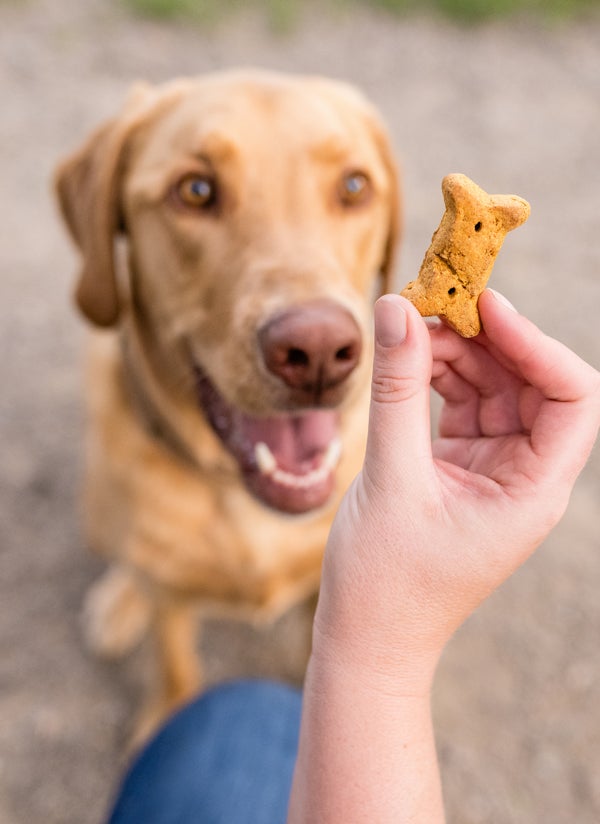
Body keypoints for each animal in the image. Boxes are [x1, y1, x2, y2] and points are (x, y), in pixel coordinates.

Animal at [55, 69, 404, 740]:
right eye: (195, 191)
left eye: (354, 187)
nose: (318, 352)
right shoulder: (169, 592)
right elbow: (173, 661)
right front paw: (164, 717)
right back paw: (119, 601)